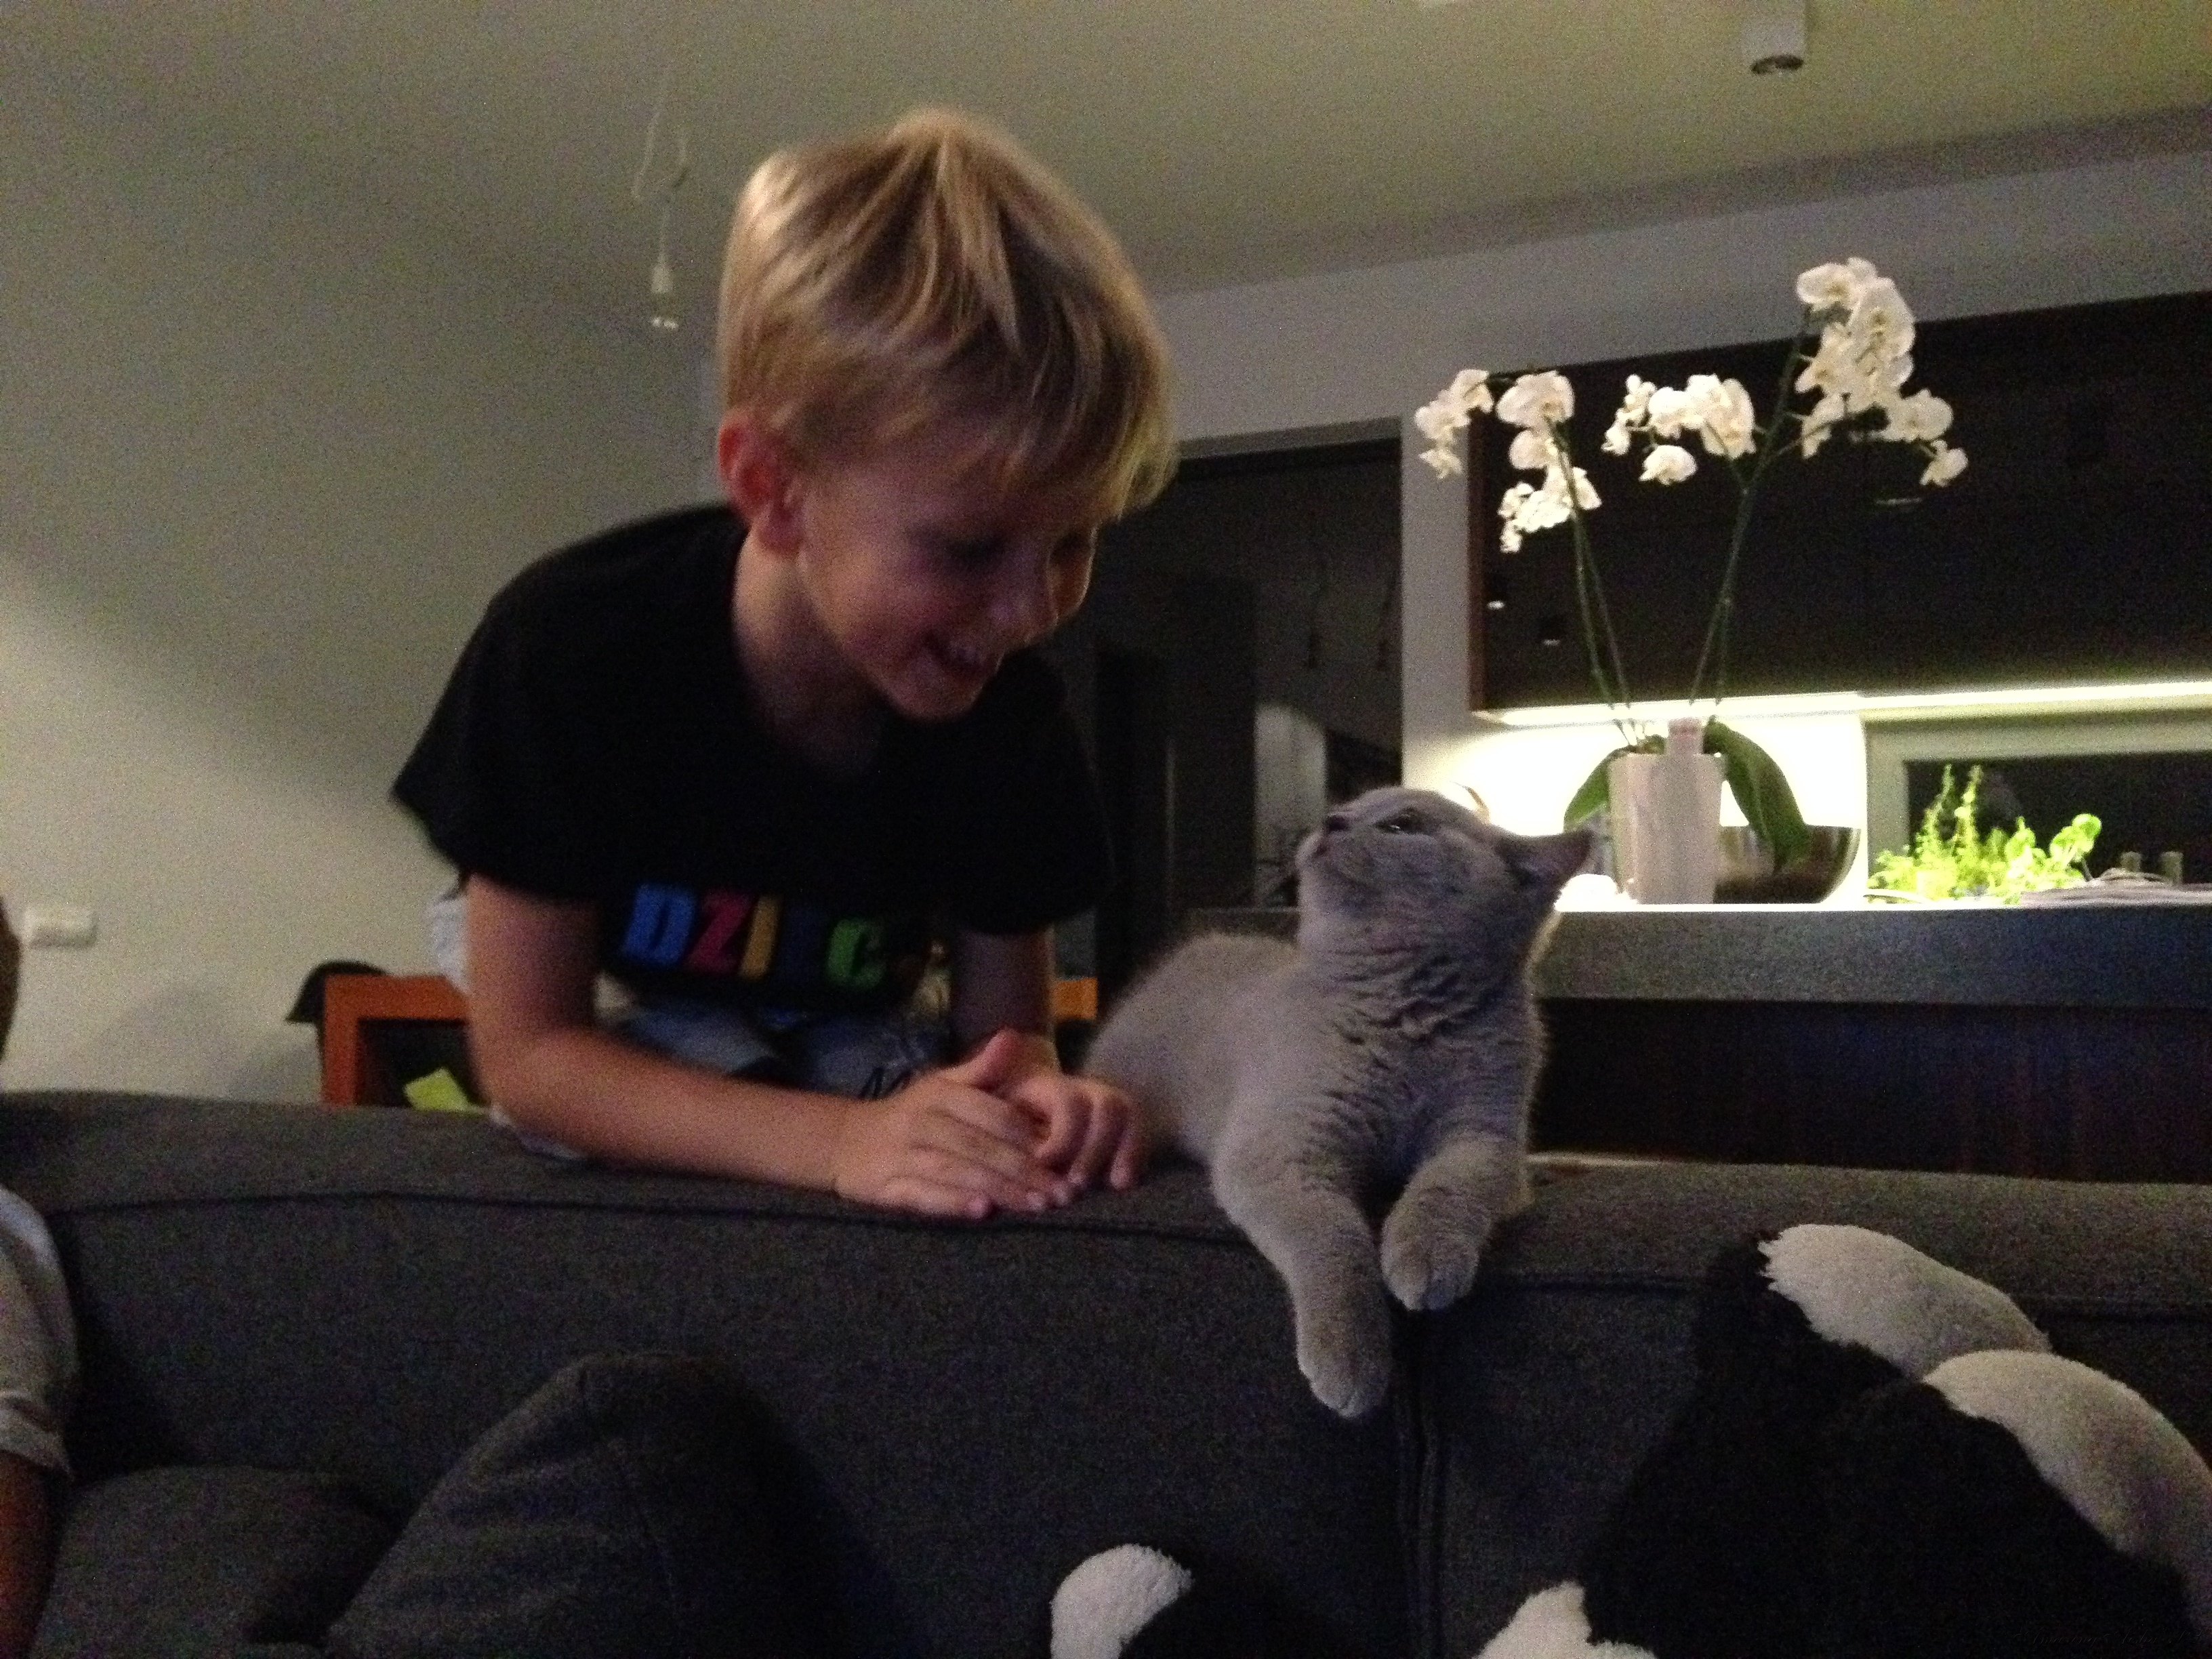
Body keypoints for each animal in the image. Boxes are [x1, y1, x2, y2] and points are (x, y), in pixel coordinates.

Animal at [1084, 786, 1591, 1418]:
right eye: (1348, 806)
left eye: (1403, 825)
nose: (1332, 820)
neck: (1402, 1019)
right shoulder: (1280, 1151)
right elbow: (1335, 1238)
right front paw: (1352, 1358)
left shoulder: (1484, 1135)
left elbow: (1447, 1188)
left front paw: (1425, 1255)